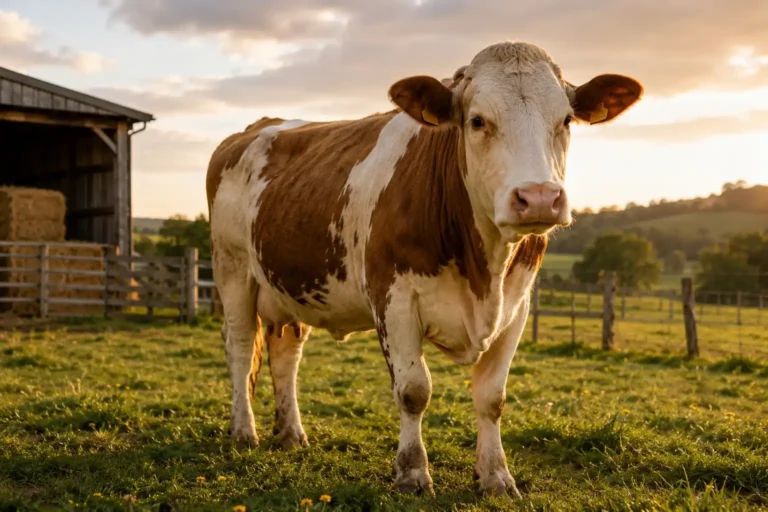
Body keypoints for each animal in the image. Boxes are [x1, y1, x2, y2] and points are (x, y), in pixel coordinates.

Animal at [206, 40, 642, 497]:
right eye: (477, 120)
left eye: (567, 120)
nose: (539, 197)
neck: (483, 272)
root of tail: (257, 127)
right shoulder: (393, 299)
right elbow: (414, 390)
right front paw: (413, 472)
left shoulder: (517, 306)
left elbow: (493, 397)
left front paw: (496, 477)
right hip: (231, 268)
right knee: (240, 347)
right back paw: (244, 431)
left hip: (291, 286)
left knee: (286, 353)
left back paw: (291, 433)